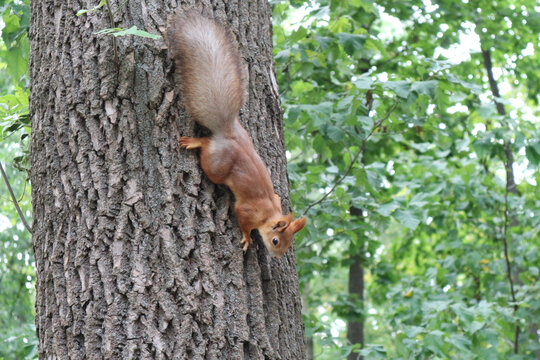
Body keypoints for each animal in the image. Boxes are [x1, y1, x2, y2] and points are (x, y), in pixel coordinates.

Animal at [167, 11, 306, 258]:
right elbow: (243, 222)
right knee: (207, 147)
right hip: (216, 166)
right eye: (276, 241)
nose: (277, 256)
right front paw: (247, 238)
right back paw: (195, 142)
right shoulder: (246, 209)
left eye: (289, 243)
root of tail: (228, 132)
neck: (269, 212)